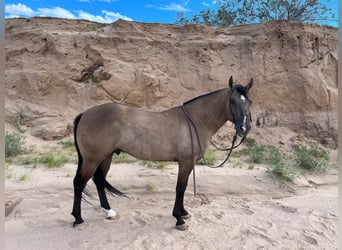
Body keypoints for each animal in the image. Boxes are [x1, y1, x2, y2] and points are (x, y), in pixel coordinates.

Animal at [72, 75, 252, 230]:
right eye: (232, 101)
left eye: (249, 102)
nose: (244, 128)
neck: (196, 120)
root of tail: (84, 114)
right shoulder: (185, 162)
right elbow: (180, 188)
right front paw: (179, 219)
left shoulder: (189, 163)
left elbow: (184, 187)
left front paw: (183, 213)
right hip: (92, 160)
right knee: (79, 183)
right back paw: (78, 218)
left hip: (105, 157)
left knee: (98, 181)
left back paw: (109, 212)